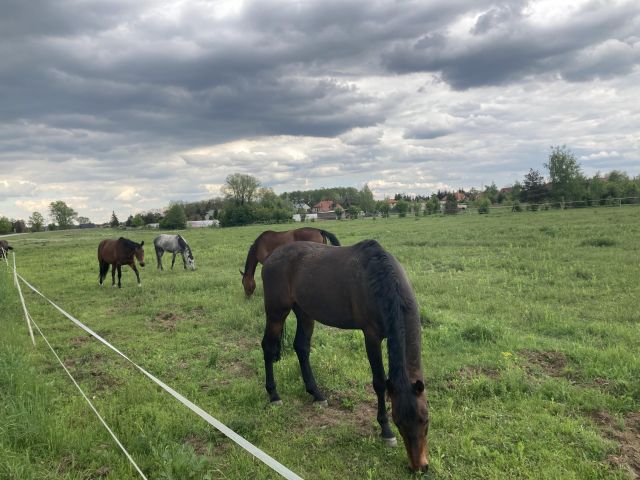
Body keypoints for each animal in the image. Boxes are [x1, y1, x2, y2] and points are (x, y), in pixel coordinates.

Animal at [260, 238, 430, 470]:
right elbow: (379, 382)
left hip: (304, 312)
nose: (419, 467)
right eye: (398, 421)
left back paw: (316, 394)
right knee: (268, 348)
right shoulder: (371, 336)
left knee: (301, 348)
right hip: (277, 311)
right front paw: (385, 431)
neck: (381, 280)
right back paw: (274, 395)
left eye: (425, 419)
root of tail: (271, 256)